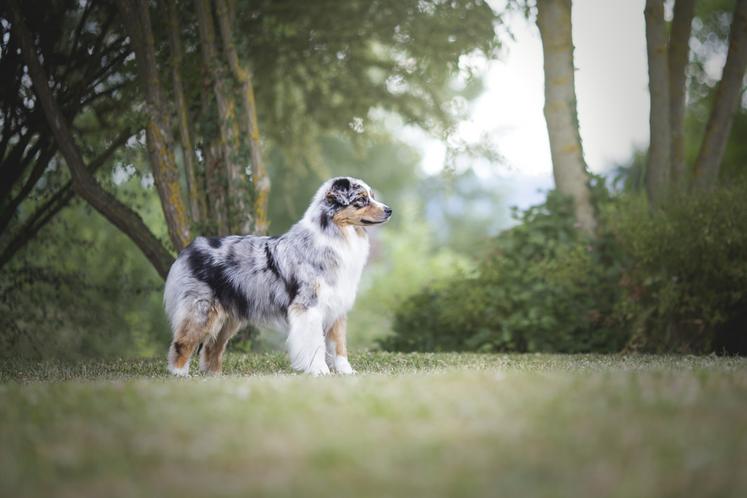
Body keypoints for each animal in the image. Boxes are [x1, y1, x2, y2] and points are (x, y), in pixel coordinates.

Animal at [162, 177, 392, 376]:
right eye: (361, 199)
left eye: (372, 196)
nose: (389, 210)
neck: (336, 234)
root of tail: (190, 248)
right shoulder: (308, 306)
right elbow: (315, 343)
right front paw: (319, 370)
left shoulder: (336, 307)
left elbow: (339, 346)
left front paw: (346, 372)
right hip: (201, 310)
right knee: (183, 343)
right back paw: (180, 374)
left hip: (228, 318)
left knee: (211, 347)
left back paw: (214, 376)